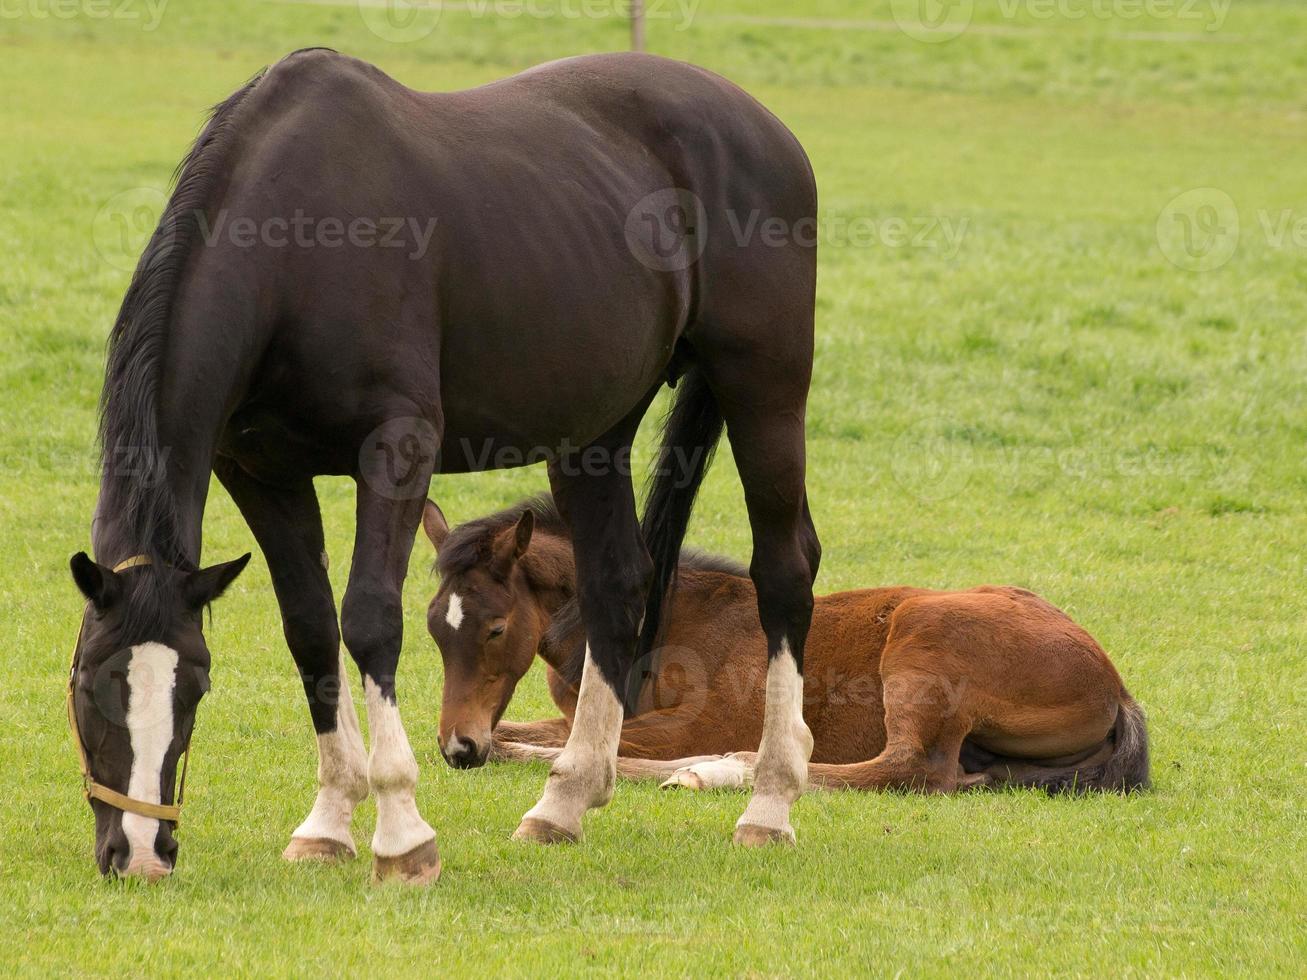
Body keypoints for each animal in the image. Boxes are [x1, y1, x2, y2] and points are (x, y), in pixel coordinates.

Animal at [68, 49, 815, 888]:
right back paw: (563, 803)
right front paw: (328, 822)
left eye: (194, 686)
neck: (295, 247)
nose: (137, 852)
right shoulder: (260, 471)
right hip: (594, 434)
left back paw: (768, 805)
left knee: (785, 571)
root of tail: (758, 123)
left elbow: (368, 622)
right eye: (87, 684)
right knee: (618, 584)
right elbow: (310, 629)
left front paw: (401, 834)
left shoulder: (398, 447)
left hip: (764, 391)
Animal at [423, 499, 1150, 799]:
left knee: (909, 769)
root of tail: (1116, 688)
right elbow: (534, 726)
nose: (459, 747)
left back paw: (726, 769)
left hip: (925, 636)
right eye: (434, 628)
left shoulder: (701, 719)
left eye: (494, 629)